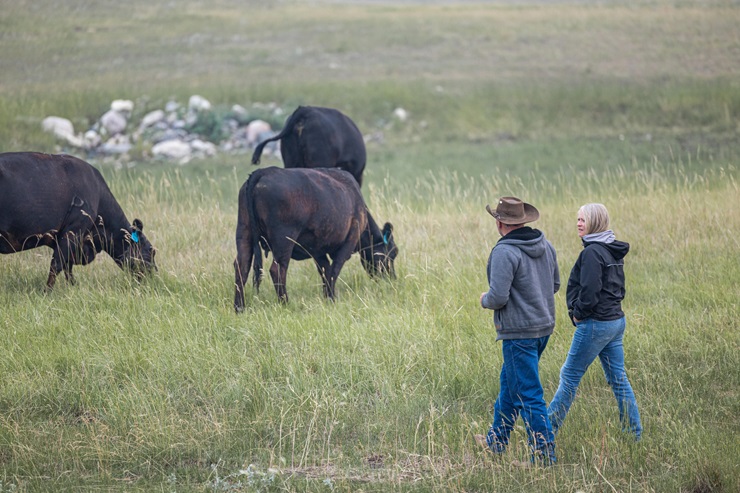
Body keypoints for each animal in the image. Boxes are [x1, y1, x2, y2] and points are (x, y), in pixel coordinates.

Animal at [0, 150, 156, 288]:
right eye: (151, 251)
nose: (154, 277)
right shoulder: (73, 232)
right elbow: (57, 265)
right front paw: (46, 293)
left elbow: (67, 268)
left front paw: (73, 288)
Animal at [234, 166, 396, 312]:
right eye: (393, 253)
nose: (392, 279)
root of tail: (263, 171)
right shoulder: (349, 242)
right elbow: (334, 271)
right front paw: (331, 298)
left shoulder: (318, 251)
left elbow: (326, 272)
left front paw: (328, 297)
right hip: (284, 242)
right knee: (277, 270)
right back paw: (285, 303)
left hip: (244, 234)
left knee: (241, 267)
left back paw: (239, 307)